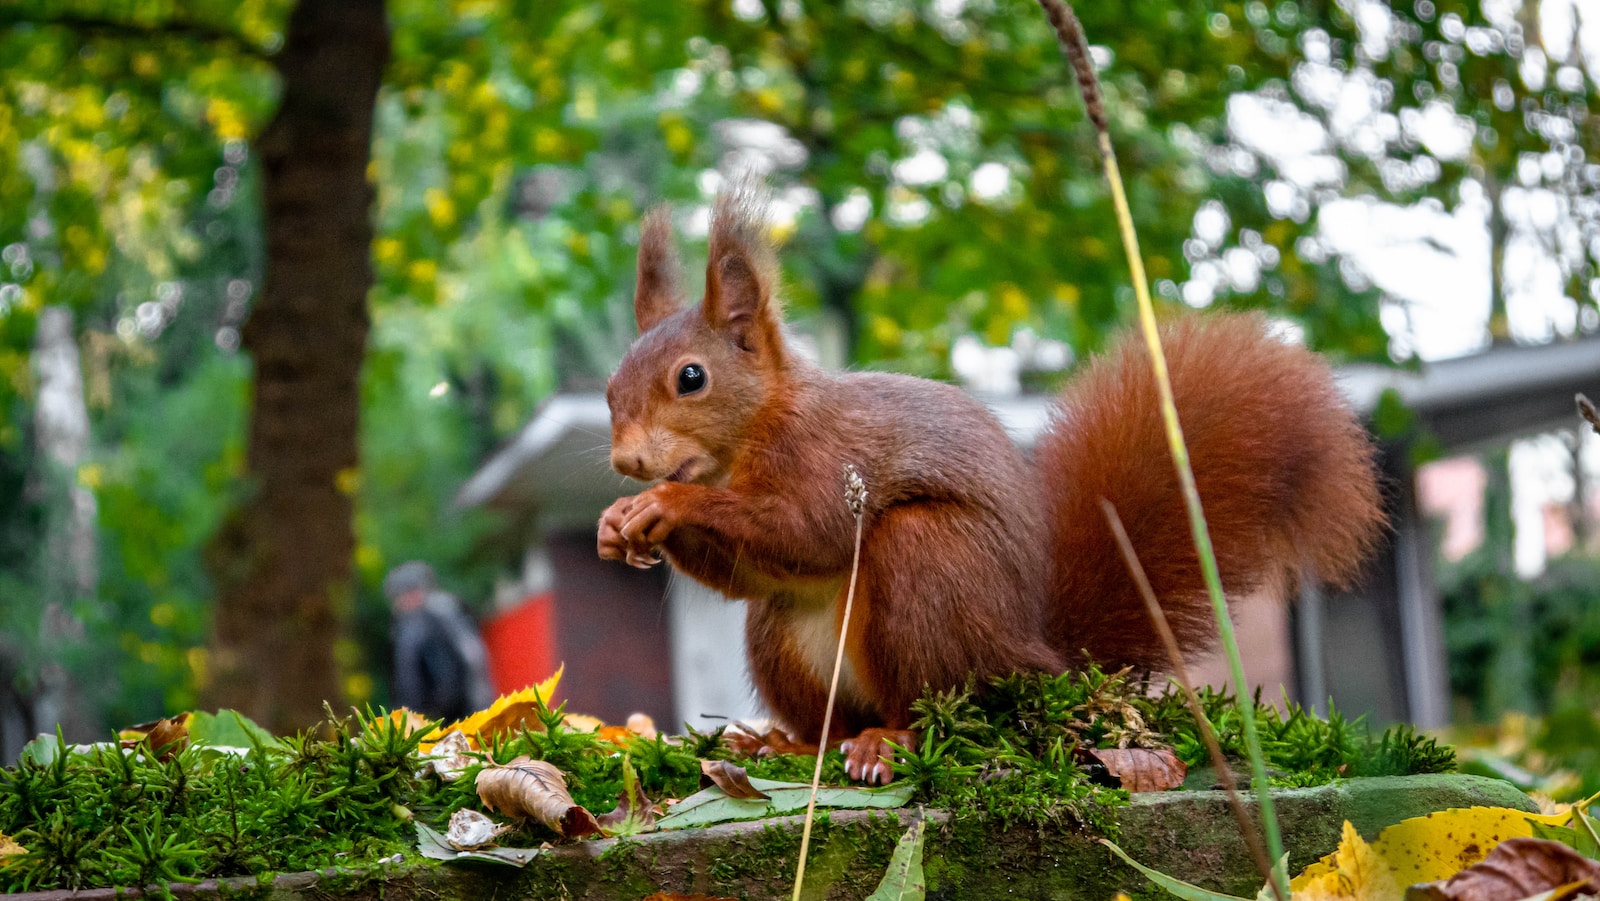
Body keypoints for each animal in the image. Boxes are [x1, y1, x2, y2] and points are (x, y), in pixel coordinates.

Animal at [598, 184, 1386, 784]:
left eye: (691, 378)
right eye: (609, 388)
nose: (628, 462)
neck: (752, 432)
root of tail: (1032, 656)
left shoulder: (828, 458)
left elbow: (810, 530)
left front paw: (667, 503)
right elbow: (749, 572)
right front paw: (616, 524)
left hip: (928, 567)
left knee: (935, 705)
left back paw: (888, 743)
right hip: (781, 636)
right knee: (825, 709)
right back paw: (784, 742)